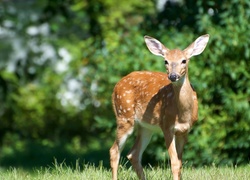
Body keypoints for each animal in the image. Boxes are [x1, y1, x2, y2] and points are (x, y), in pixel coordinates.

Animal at [109, 34, 209, 179]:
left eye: (184, 61)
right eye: (166, 61)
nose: (173, 76)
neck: (183, 114)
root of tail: (115, 87)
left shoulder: (185, 130)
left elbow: (180, 163)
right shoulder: (166, 126)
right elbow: (174, 163)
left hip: (146, 126)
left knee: (133, 154)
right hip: (124, 116)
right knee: (114, 151)